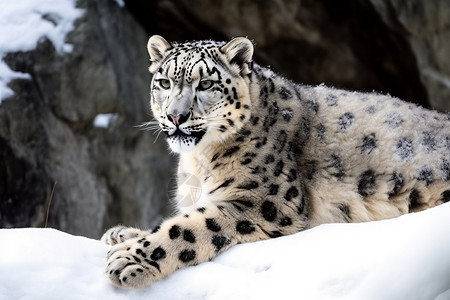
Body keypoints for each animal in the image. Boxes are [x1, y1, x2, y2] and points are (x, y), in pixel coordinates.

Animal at [102, 34, 450, 288]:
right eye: (164, 83)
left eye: (206, 84)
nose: (176, 116)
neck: (198, 163)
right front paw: (121, 233)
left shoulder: (265, 202)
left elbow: (186, 227)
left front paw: (127, 259)